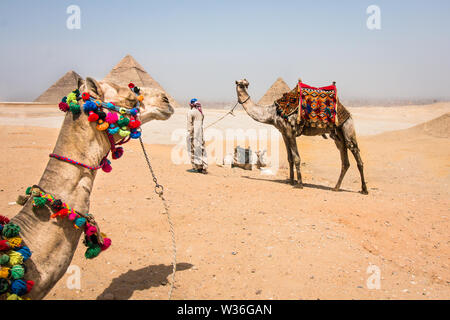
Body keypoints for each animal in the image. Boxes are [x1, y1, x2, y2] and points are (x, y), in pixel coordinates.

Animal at [234, 79, 368, 194]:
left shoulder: (290, 132)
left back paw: (364, 190)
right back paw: (336, 187)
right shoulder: (284, 133)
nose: (245, 83)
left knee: (356, 155)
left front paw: (299, 184)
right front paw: (291, 181)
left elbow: (297, 158)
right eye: (240, 83)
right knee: (345, 160)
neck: (272, 114)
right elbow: (290, 158)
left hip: (347, 127)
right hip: (337, 136)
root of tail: (346, 112)